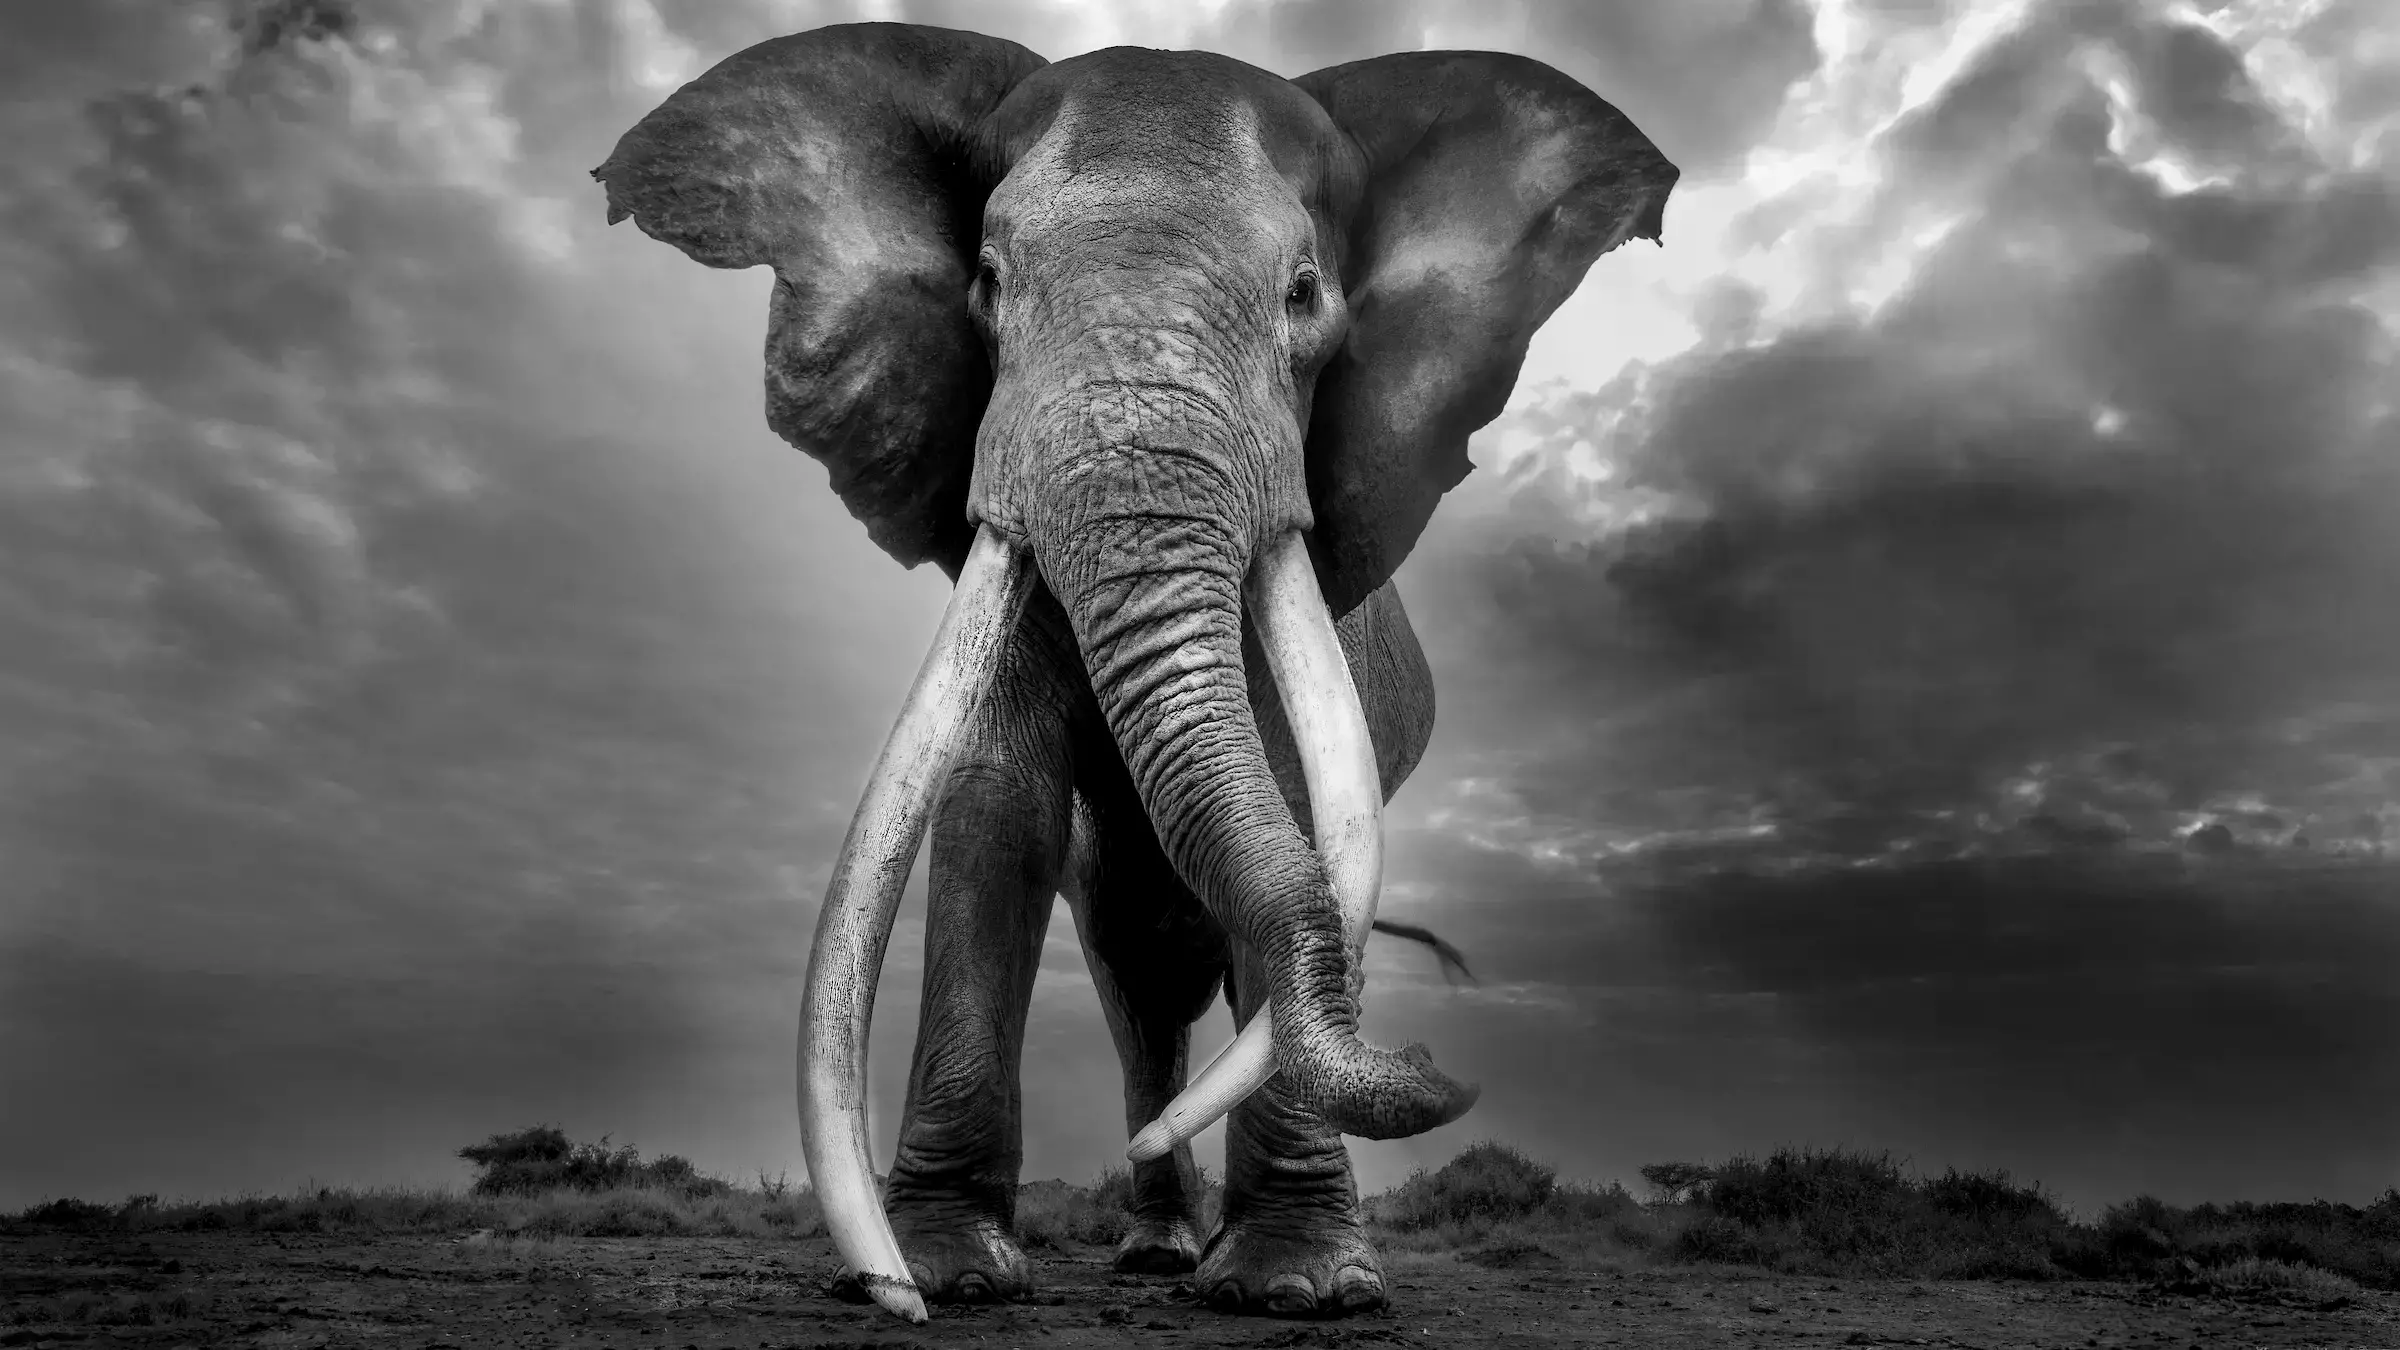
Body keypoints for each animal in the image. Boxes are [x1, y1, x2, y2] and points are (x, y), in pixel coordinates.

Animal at [593, 21, 1676, 1324]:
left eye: (1305, 294)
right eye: (988, 284)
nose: (1433, 1063)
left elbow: (1299, 804)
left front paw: (1298, 1290)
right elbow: (993, 809)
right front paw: (945, 1276)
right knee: (1136, 986)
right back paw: (1156, 1248)